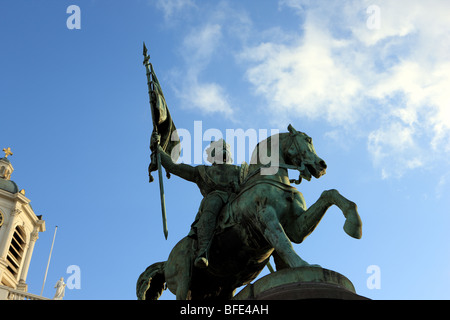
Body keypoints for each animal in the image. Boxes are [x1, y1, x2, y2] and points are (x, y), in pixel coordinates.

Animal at [136, 124, 362, 300]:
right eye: (306, 140)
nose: (321, 165)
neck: (271, 179)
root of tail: (166, 262)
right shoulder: (266, 219)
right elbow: (283, 242)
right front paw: (304, 265)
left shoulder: (296, 227)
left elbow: (329, 194)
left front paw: (353, 225)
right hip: (184, 277)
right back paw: (201, 257)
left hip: (221, 287)